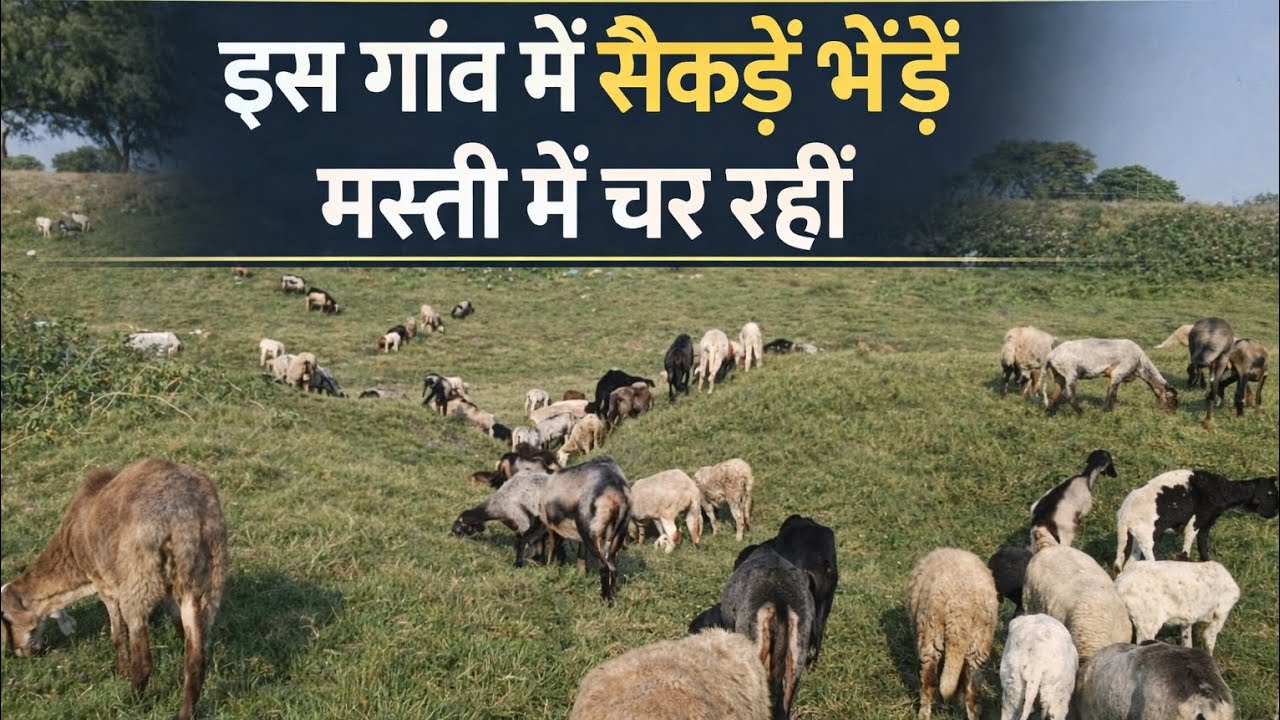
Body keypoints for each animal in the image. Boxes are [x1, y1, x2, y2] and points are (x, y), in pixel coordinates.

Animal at [0, 458, 227, 720]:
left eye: (6, 620)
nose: (17, 652)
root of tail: (184, 517)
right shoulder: (171, 594)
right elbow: (183, 637)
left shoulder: (107, 587)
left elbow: (117, 635)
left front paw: (122, 671)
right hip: (205, 580)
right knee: (196, 661)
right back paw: (185, 713)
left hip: (138, 581)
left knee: (144, 660)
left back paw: (132, 702)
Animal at [540, 457, 632, 604]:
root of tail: (617, 493)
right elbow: (581, 557)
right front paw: (581, 576)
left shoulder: (552, 526)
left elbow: (554, 547)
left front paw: (550, 569)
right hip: (618, 534)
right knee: (612, 565)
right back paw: (612, 595)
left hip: (591, 534)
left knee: (604, 567)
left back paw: (605, 600)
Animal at [906, 547, 998, 720]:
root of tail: (959, 608)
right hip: (979, 642)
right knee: (972, 691)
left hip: (931, 633)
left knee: (929, 681)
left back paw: (924, 713)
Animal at [1040, 338, 1179, 415]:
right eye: (1172, 401)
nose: (1171, 414)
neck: (1141, 363)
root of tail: (1051, 355)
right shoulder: (1118, 373)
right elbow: (1112, 394)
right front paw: (1106, 411)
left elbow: (1111, 393)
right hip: (1071, 372)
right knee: (1070, 397)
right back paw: (1082, 414)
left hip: (1059, 375)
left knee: (1054, 395)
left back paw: (1049, 413)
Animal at [1113, 469, 1278, 572]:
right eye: (1270, 493)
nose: (1275, 512)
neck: (1223, 490)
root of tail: (1124, 516)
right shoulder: (1199, 519)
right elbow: (1188, 546)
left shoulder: (1207, 523)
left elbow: (1203, 546)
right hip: (1146, 535)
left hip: (1135, 535)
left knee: (1125, 562)